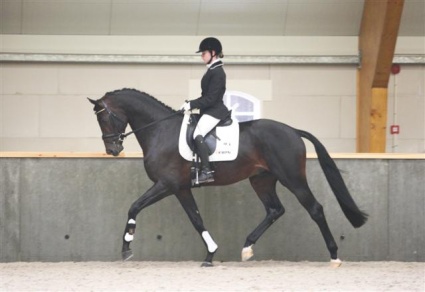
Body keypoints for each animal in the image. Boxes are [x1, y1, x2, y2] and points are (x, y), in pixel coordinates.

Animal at [88, 87, 366, 266]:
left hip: (292, 179)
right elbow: (196, 219)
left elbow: (134, 207)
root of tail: (293, 131)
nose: (112, 150)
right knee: (275, 210)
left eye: (104, 118)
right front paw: (211, 254)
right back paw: (246, 248)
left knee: (315, 209)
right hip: (261, 180)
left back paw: (334, 256)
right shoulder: (180, 188)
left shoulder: (166, 184)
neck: (160, 130)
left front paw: (126, 247)